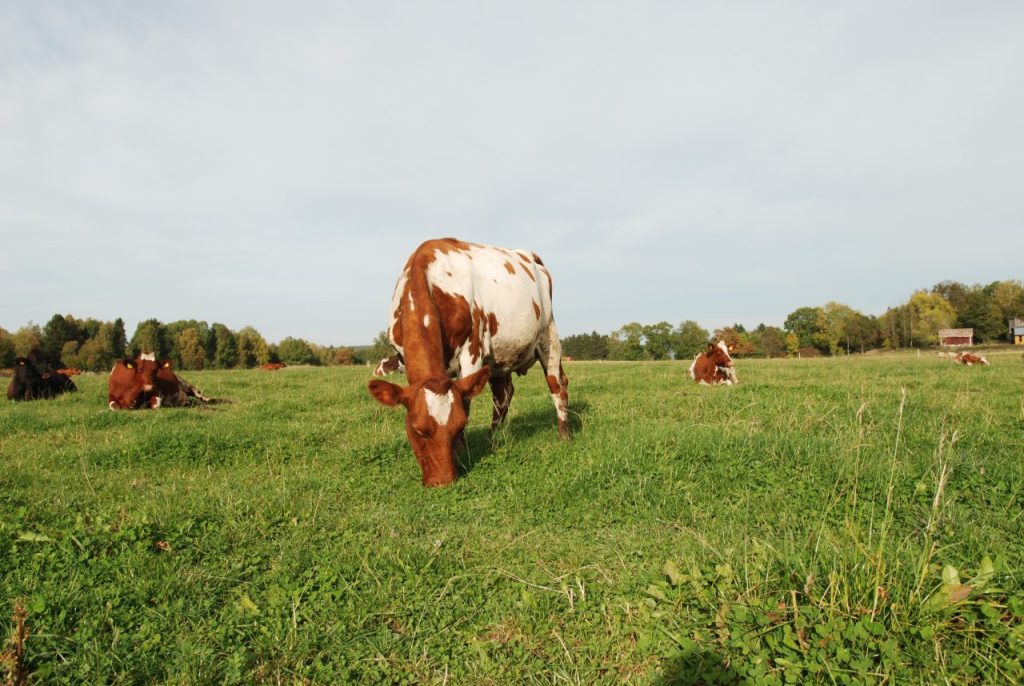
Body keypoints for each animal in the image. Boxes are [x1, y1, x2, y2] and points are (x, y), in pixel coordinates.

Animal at [370, 239, 577, 487]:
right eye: (418, 430)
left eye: (459, 426)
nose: (443, 481)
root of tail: (530, 255)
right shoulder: (403, 355)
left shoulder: (472, 352)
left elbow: (466, 402)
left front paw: (461, 451)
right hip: (499, 357)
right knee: (503, 394)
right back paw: (493, 437)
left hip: (549, 335)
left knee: (557, 385)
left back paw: (564, 434)